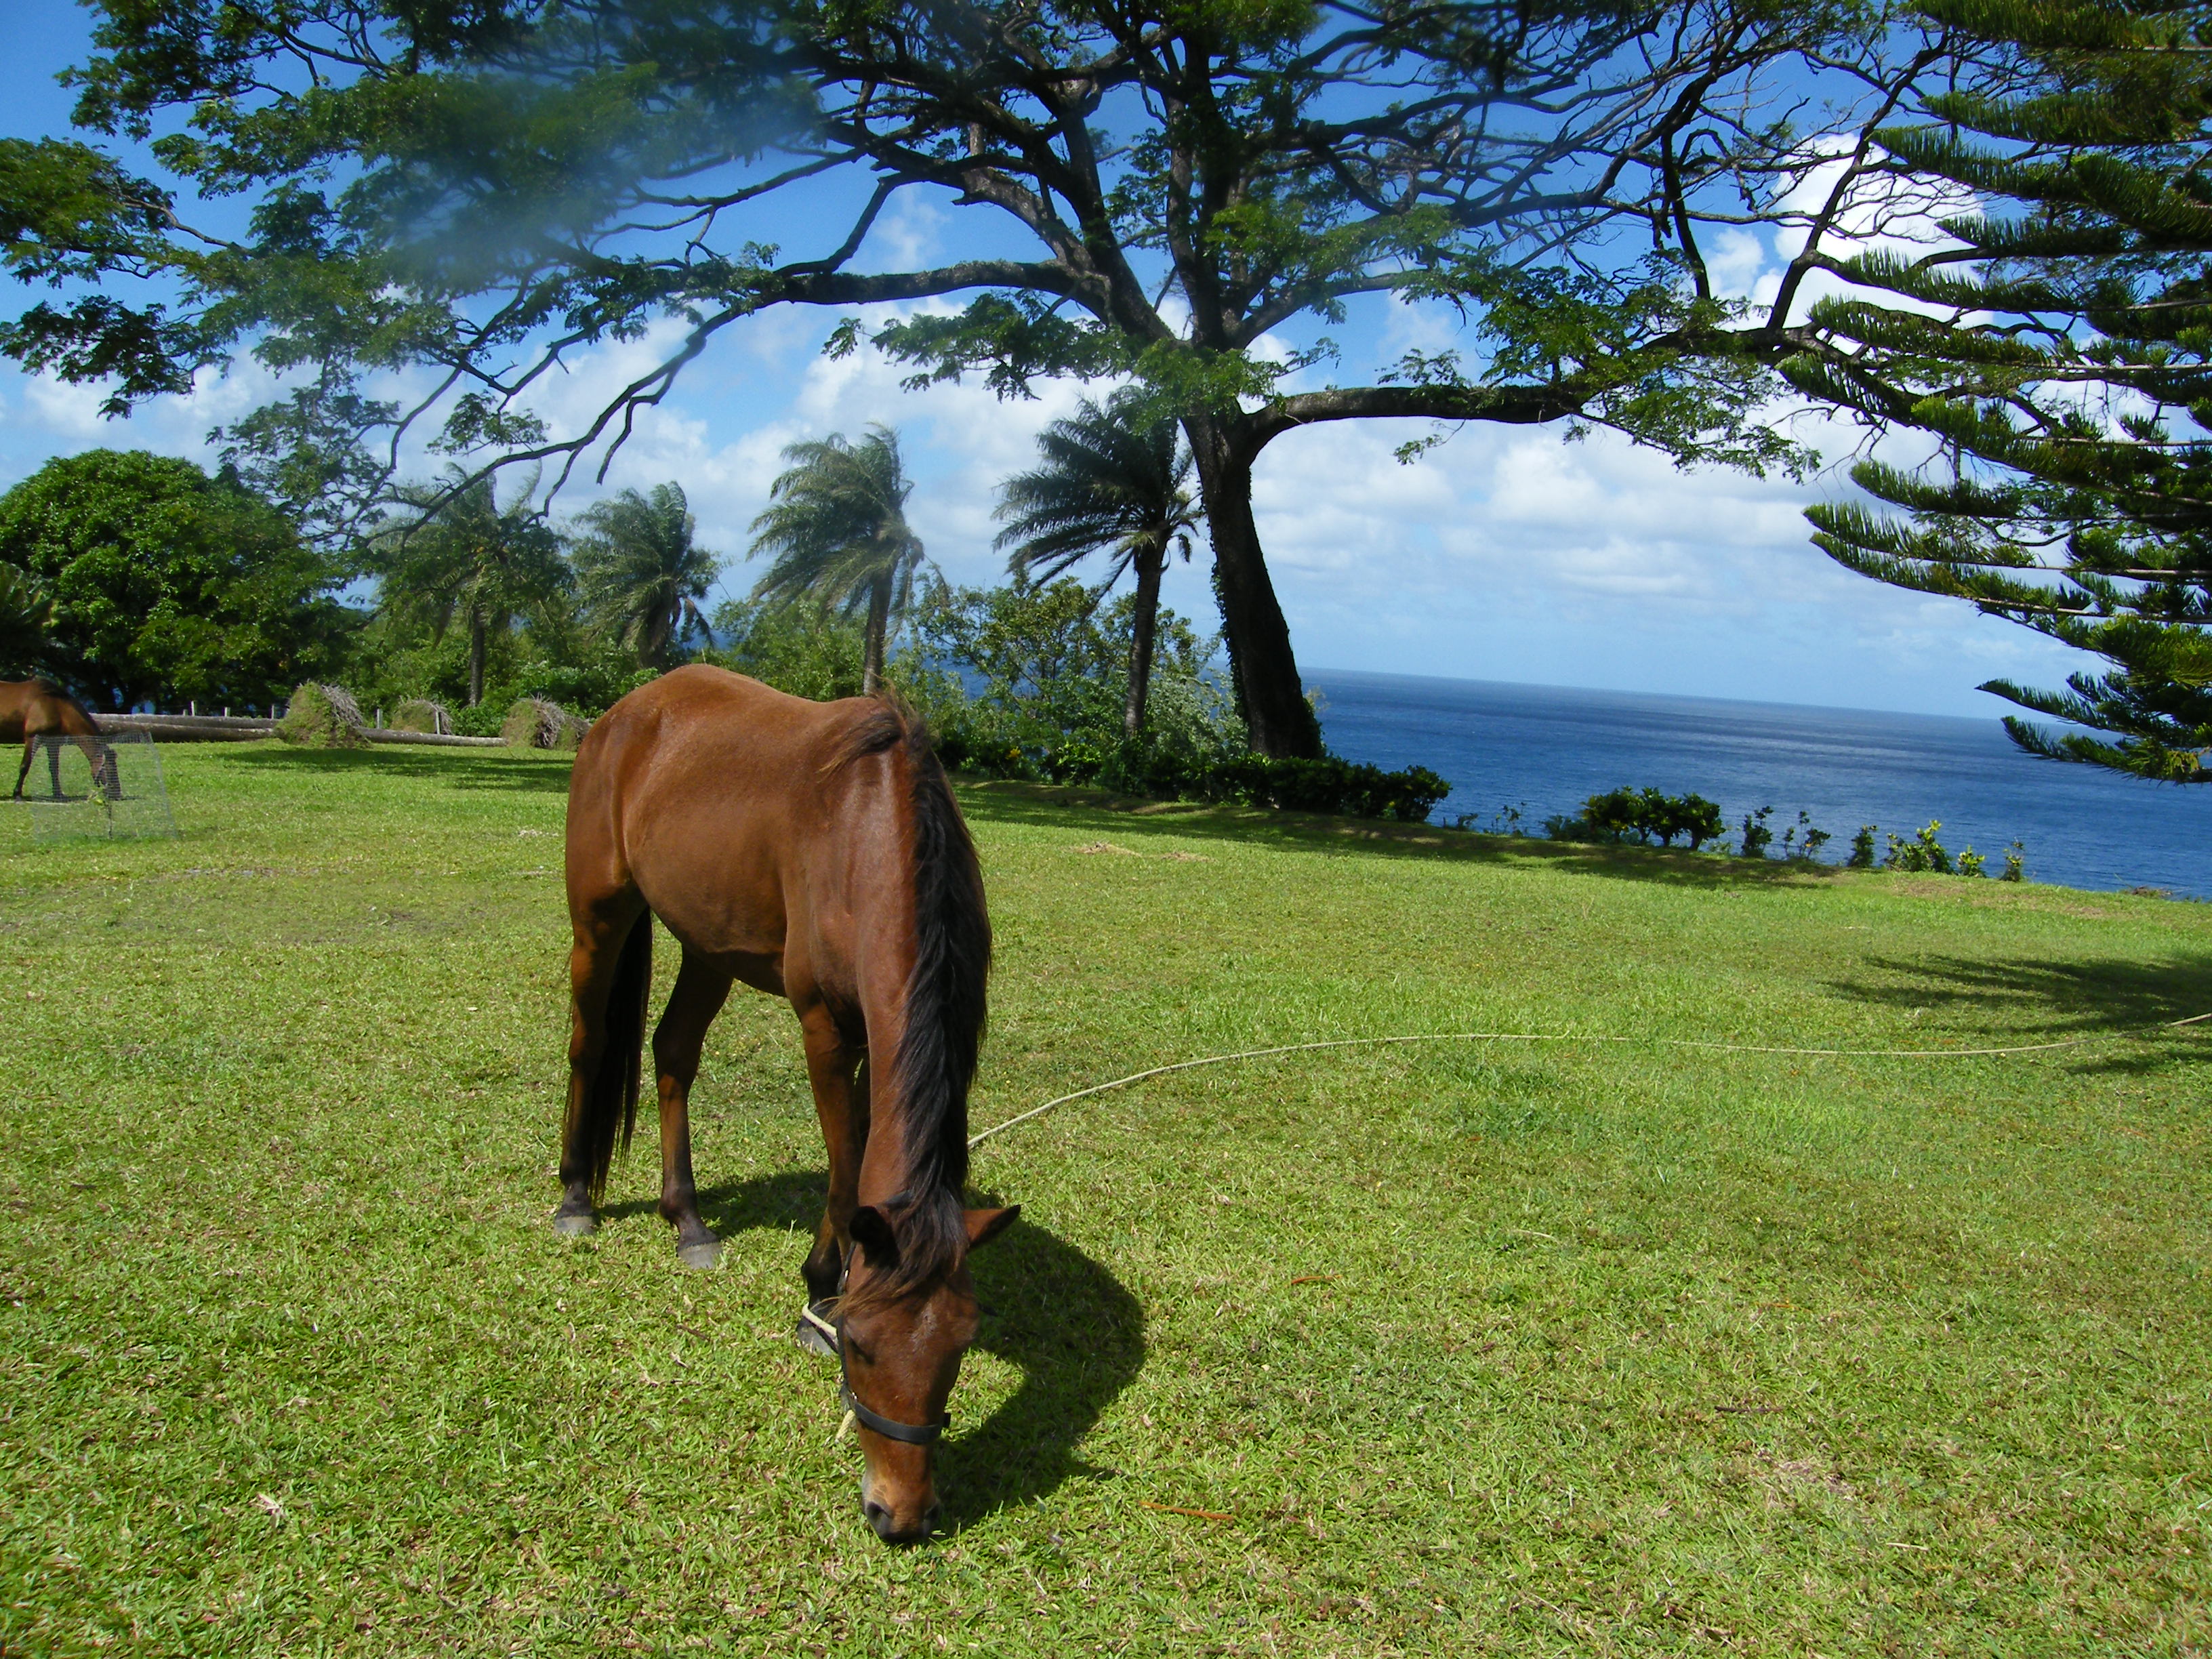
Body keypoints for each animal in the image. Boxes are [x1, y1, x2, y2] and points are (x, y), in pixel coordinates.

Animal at [0, 676, 117, 800]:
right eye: (109, 769)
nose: (116, 794)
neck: (56, 706)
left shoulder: (54, 743)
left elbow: (54, 768)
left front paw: (58, 794)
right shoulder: (32, 738)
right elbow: (25, 766)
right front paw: (17, 794)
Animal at [557, 668, 1012, 1548]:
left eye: (961, 1345)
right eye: (860, 1348)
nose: (901, 1514)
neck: (868, 831)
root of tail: (625, 715)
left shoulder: (882, 1027)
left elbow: (863, 1156)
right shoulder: (826, 1026)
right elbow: (842, 1171)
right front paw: (817, 1296)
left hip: (708, 940)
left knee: (672, 1053)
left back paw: (688, 1220)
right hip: (599, 915)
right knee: (590, 1045)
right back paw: (573, 1198)